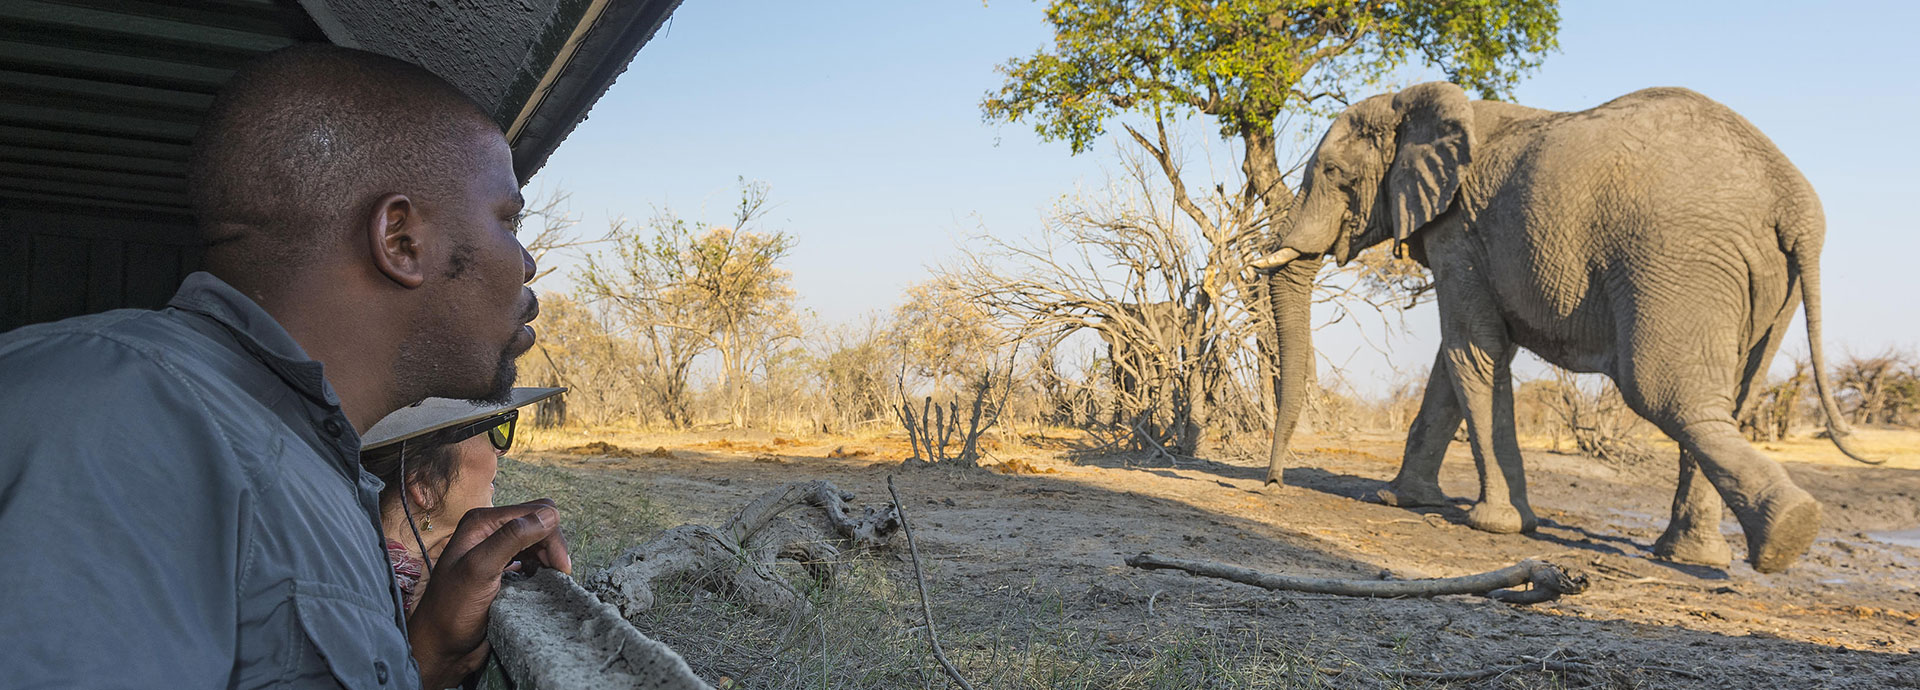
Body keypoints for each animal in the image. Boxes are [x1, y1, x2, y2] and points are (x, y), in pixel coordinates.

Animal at [1250, 82, 1876, 573]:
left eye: (1335, 174)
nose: (1270, 483)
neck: (1416, 102)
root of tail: (1793, 203)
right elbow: (1453, 366)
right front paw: (1400, 500)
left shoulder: (1460, 230)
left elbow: (1472, 349)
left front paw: (1497, 526)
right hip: (1766, 281)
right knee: (1734, 399)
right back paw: (1699, 554)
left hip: (1678, 259)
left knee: (1667, 394)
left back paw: (1786, 532)